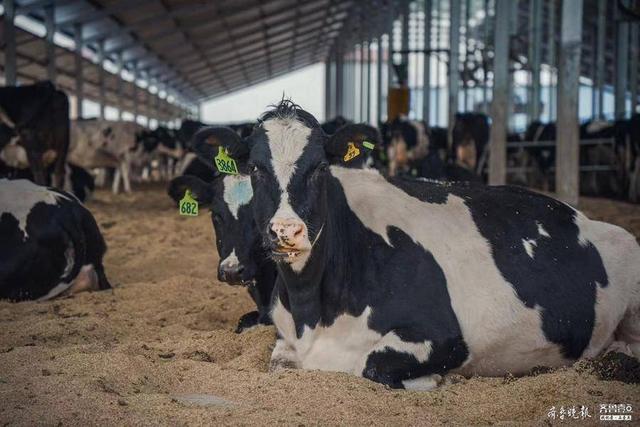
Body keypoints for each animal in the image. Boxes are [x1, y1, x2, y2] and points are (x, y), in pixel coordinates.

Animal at [205, 101, 640, 392]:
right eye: (256, 168)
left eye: (320, 168)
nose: (287, 232)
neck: (311, 309)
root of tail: (587, 218)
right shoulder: (283, 338)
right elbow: (278, 362)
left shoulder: (446, 338)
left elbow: (372, 366)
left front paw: (433, 381)